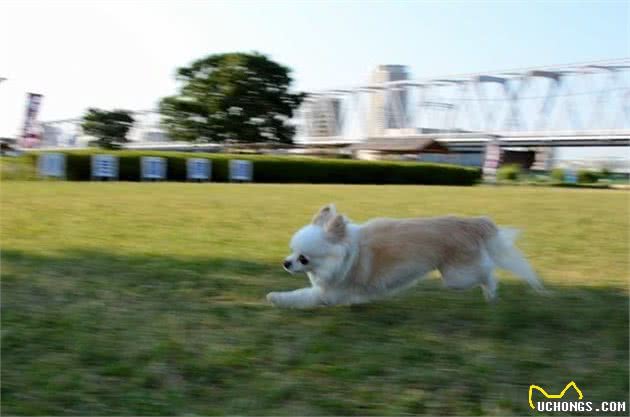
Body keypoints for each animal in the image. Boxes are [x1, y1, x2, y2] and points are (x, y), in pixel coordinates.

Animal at [264, 203, 544, 308]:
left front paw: (275, 297)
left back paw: (492, 290)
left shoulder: (327, 294)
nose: (285, 262)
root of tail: (472, 223)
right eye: (292, 251)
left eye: (303, 258)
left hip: (457, 277)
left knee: (488, 272)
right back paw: (490, 295)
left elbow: (301, 296)